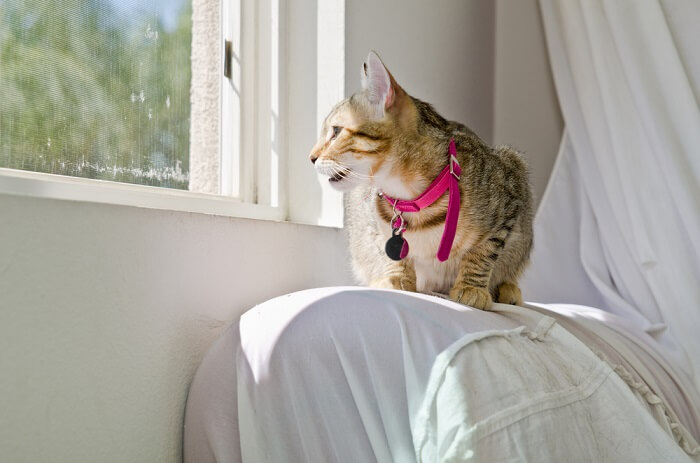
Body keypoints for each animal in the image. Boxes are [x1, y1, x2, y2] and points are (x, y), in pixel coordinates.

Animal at [308, 51, 532, 312]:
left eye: (335, 131)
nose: (311, 157)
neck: (408, 195)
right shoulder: (372, 221)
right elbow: (387, 251)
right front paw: (397, 278)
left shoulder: (509, 194)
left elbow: (483, 252)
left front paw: (471, 287)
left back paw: (508, 289)